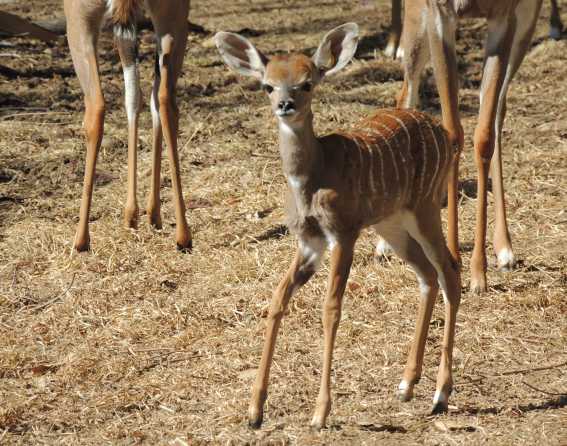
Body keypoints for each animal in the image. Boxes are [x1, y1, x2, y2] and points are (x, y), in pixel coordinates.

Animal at [214, 23, 462, 428]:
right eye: (267, 85)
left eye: (307, 83)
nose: (285, 105)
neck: (312, 178)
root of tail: (447, 135)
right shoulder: (308, 242)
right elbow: (278, 299)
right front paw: (254, 410)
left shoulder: (343, 233)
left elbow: (331, 308)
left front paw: (319, 413)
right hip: (390, 223)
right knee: (426, 274)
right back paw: (406, 385)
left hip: (424, 207)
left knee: (449, 271)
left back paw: (440, 394)